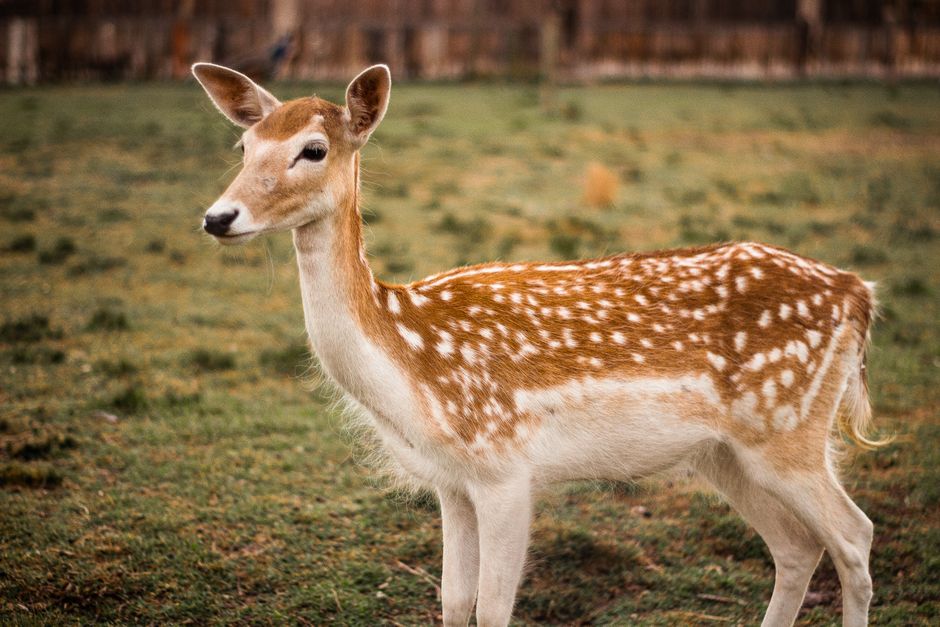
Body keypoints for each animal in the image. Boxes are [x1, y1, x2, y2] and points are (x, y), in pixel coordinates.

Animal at [192, 62, 881, 626]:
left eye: (313, 149)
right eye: (244, 145)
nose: (217, 217)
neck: (410, 362)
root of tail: (859, 294)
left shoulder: (505, 469)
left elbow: (493, 609)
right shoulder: (451, 482)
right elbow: (453, 603)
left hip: (787, 429)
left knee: (854, 536)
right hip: (725, 452)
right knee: (797, 546)